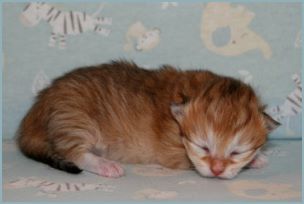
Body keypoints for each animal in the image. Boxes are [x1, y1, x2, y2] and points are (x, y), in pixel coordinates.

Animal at [16, 60, 278, 178]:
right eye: (203, 146)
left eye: (236, 151)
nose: (217, 170)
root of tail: (38, 106)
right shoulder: (175, 153)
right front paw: (256, 161)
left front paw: (256, 158)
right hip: (74, 117)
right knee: (72, 152)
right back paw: (105, 165)